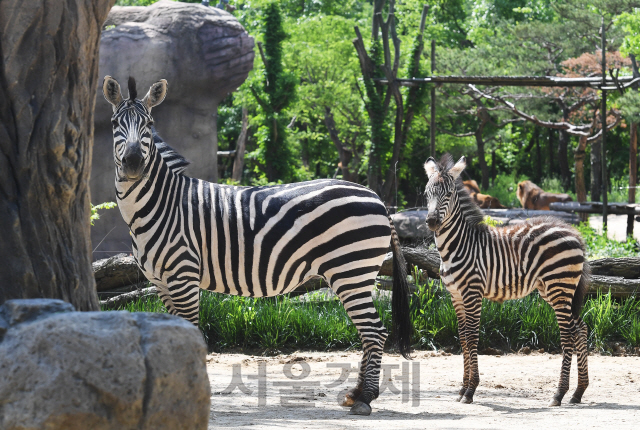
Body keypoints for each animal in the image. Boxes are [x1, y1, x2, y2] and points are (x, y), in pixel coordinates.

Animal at [100, 75, 410, 414]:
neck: (160, 204)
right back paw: (356, 393)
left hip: (350, 269)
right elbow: (173, 336)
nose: (132, 163)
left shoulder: (183, 276)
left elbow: (191, 331)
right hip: (357, 274)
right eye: (115, 124)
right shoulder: (160, 283)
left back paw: (366, 397)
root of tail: (376, 197)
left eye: (149, 124)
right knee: (369, 331)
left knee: (374, 331)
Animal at [424, 154, 592, 406]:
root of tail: (573, 232)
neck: (457, 246)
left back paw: (559, 394)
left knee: (568, 336)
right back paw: (578, 392)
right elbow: (462, 338)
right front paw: (462, 390)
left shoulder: (472, 293)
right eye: (427, 193)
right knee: (580, 329)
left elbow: (472, 337)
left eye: (449, 193)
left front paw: (471, 390)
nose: (432, 221)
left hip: (559, 287)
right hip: (554, 290)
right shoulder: (456, 295)